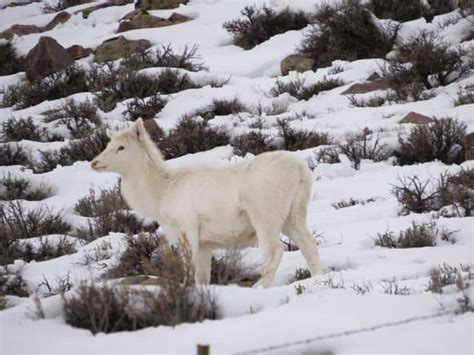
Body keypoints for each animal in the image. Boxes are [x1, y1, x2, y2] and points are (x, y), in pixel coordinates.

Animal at [90, 119, 320, 290]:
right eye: (108, 145)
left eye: (121, 147)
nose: (94, 162)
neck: (161, 193)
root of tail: (300, 169)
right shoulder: (205, 245)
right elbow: (202, 277)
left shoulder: (187, 228)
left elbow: (189, 269)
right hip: (294, 216)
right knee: (308, 244)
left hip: (265, 217)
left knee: (275, 250)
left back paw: (259, 286)